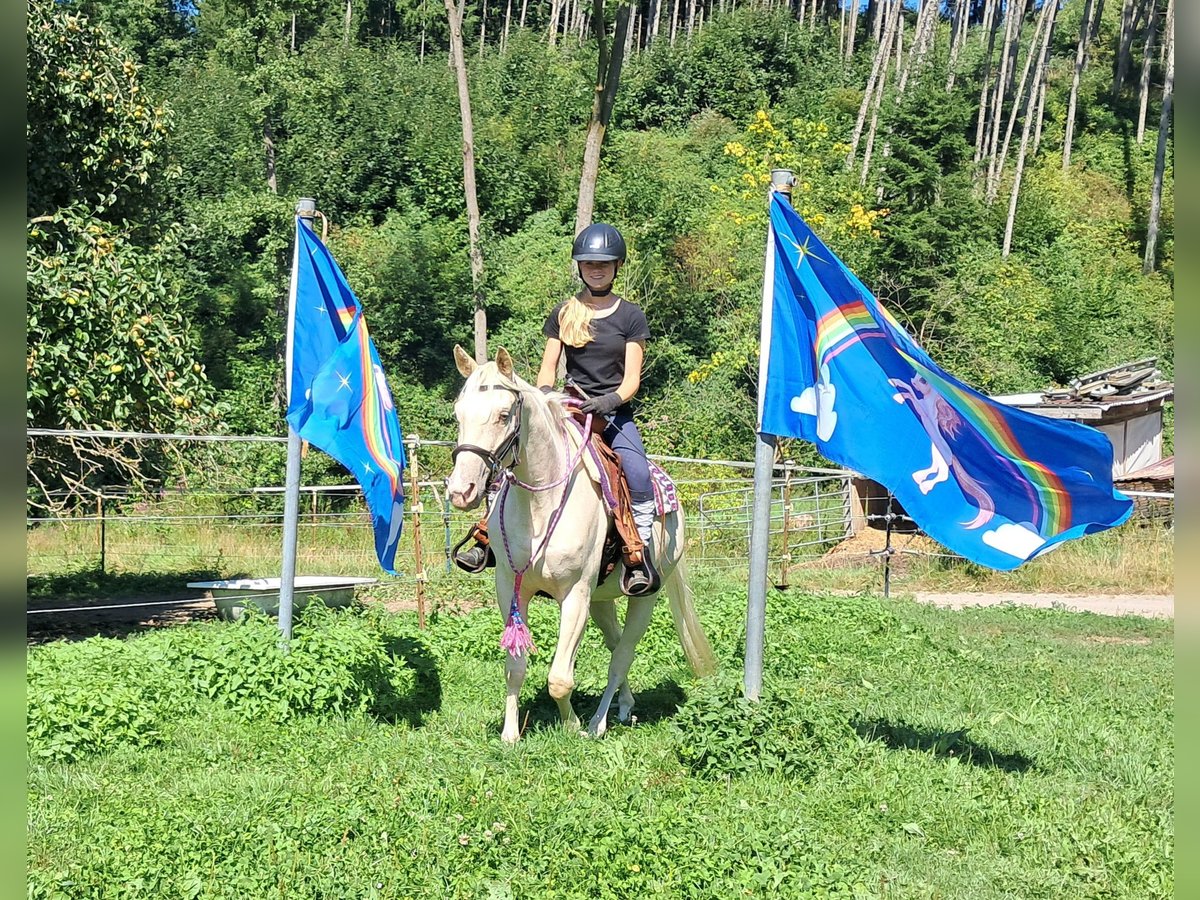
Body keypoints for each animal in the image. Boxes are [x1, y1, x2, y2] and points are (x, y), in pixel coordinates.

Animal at [445, 345, 717, 743]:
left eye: (503, 414)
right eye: (459, 413)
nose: (461, 491)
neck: (540, 506)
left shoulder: (575, 595)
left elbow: (560, 678)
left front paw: (571, 725)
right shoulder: (511, 589)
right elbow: (515, 668)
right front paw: (510, 735)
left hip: (645, 596)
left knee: (622, 655)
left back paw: (598, 723)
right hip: (601, 599)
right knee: (615, 644)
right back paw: (624, 706)